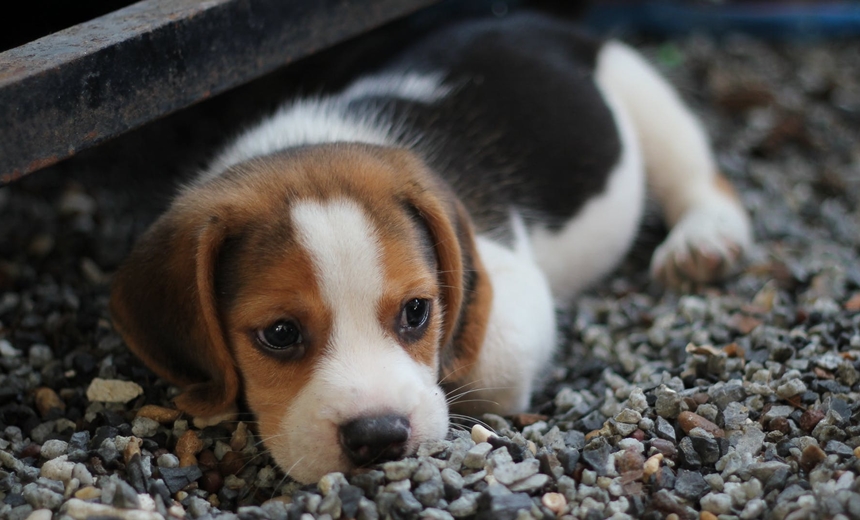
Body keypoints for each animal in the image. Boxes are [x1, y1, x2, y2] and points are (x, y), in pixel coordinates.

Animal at [109, 13, 752, 484]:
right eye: (280, 334)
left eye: (417, 311)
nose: (378, 437)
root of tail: (532, 21)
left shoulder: (510, 284)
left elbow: (484, 360)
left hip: (641, 92)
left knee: (699, 176)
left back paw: (704, 240)